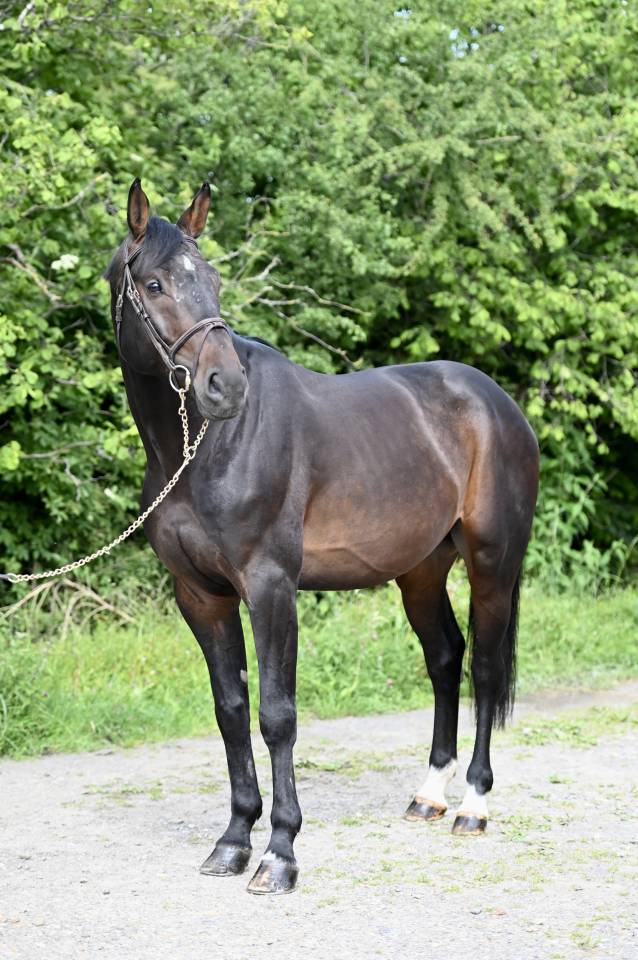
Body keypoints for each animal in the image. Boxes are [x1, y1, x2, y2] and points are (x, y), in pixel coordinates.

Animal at [105, 178, 539, 895]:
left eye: (213, 279)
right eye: (156, 283)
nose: (225, 386)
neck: (204, 450)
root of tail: (497, 403)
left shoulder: (271, 586)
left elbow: (277, 715)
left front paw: (280, 853)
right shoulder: (201, 596)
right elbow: (231, 709)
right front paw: (233, 841)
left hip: (492, 564)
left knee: (481, 665)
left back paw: (472, 806)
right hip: (421, 571)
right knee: (444, 657)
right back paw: (429, 795)